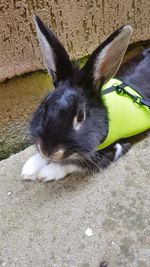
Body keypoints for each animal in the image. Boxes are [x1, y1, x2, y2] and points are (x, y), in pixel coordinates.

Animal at [21, 15, 149, 182]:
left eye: (81, 117)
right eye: (45, 107)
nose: (48, 150)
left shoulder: (115, 148)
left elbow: (79, 163)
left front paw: (46, 172)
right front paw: (30, 168)